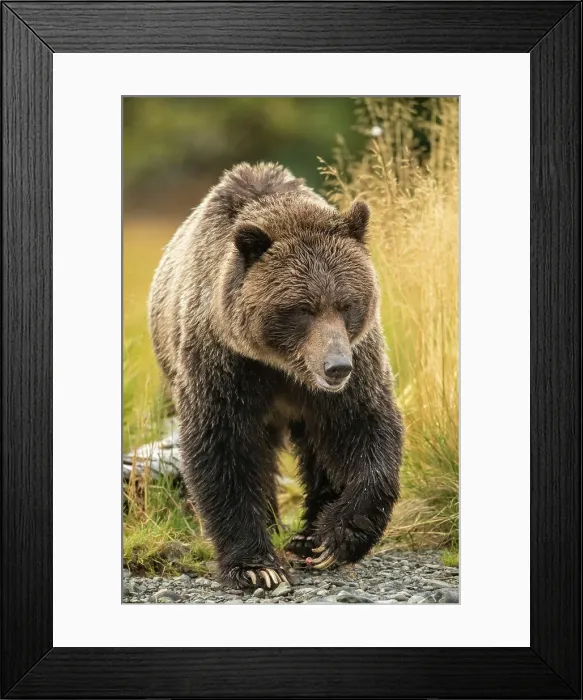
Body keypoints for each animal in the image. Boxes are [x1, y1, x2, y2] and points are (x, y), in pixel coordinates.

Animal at [148, 162, 403, 589]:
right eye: (302, 308)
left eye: (347, 303)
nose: (337, 366)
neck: (283, 366)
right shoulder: (225, 365)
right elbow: (223, 448)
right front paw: (256, 565)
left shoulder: (356, 364)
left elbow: (364, 429)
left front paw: (334, 538)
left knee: (318, 447)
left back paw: (307, 537)